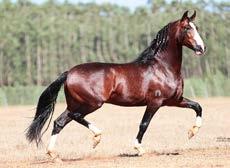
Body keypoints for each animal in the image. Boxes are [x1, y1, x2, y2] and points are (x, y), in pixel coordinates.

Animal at [26, 10, 206, 159]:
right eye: (186, 28)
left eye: (196, 27)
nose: (201, 48)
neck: (163, 67)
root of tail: (69, 72)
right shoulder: (155, 102)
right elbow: (144, 124)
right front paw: (139, 149)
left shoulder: (174, 100)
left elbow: (198, 106)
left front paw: (192, 132)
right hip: (92, 103)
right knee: (76, 117)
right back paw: (97, 137)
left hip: (75, 103)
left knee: (59, 122)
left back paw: (53, 154)